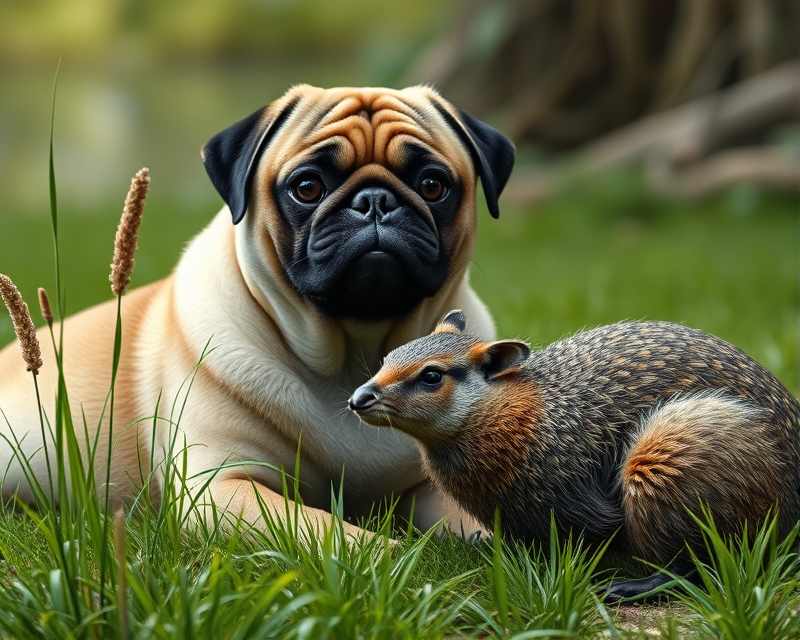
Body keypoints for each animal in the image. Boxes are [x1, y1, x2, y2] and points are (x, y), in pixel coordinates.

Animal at [0, 82, 512, 536]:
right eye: (307, 187)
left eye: (433, 185)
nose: (374, 200)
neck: (354, 352)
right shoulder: (220, 488)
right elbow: (332, 534)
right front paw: (388, 560)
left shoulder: (429, 485)